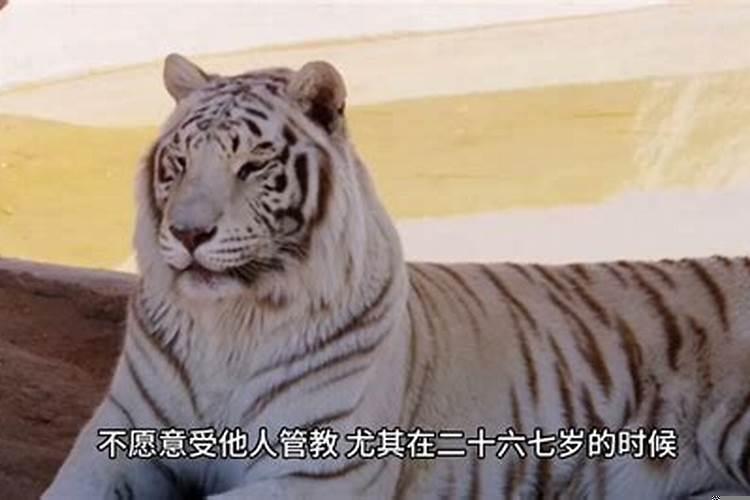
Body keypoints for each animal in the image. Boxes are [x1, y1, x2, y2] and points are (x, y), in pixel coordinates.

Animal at [42, 52, 750, 500]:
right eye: (180, 162)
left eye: (253, 166)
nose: (189, 234)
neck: (230, 325)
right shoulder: (118, 436)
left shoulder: (317, 472)